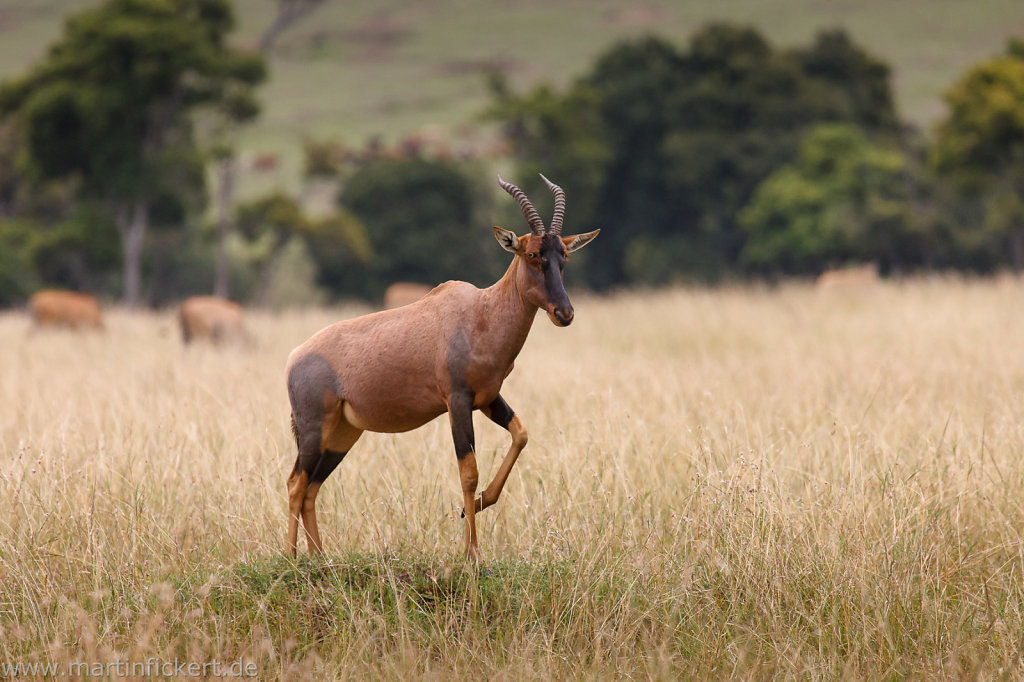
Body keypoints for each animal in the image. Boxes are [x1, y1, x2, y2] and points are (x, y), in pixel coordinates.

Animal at [282, 174, 598, 557]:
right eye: (533, 254)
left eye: (563, 255)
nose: (564, 313)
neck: (481, 312)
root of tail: (295, 356)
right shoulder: (457, 401)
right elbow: (469, 472)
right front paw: (472, 552)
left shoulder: (488, 398)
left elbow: (521, 434)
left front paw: (476, 504)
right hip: (314, 427)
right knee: (295, 483)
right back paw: (290, 557)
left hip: (343, 434)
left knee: (312, 487)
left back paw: (319, 558)